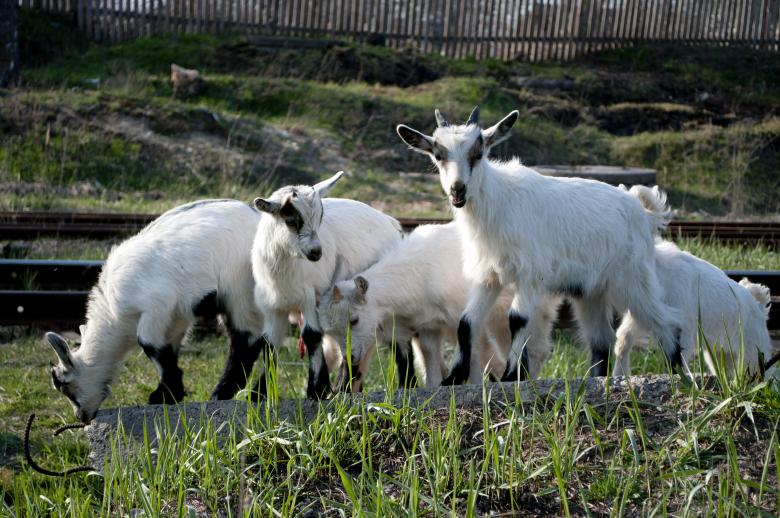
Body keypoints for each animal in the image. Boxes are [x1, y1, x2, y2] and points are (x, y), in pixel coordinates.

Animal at [47, 199, 267, 423]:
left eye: (66, 387)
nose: (81, 417)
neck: (114, 316)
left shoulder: (156, 307)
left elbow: (149, 344)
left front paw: (161, 396)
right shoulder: (177, 317)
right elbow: (168, 349)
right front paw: (171, 392)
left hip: (240, 291)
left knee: (246, 340)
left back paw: (235, 393)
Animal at [251, 171, 403, 398]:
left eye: (320, 217)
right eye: (290, 221)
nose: (316, 252)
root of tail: (389, 220)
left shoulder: (311, 297)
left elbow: (311, 335)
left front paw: (316, 391)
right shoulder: (272, 305)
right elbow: (270, 344)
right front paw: (259, 394)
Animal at [316, 222, 562, 387]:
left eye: (354, 320)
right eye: (330, 332)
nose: (350, 357)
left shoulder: (464, 319)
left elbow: (475, 354)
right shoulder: (427, 326)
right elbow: (430, 358)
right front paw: (434, 386)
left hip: (538, 304)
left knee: (536, 349)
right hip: (500, 318)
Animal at [396, 107, 683, 384]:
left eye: (478, 153)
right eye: (438, 155)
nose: (458, 190)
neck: (499, 202)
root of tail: (644, 213)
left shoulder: (531, 274)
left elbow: (517, 319)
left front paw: (511, 376)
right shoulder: (488, 275)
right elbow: (467, 322)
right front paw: (453, 379)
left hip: (633, 279)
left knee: (666, 321)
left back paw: (680, 374)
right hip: (591, 290)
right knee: (601, 339)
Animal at [613, 186, 774, 378]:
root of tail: (758, 306)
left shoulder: (682, 328)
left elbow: (678, 357)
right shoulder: (641, 316)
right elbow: (623, 339)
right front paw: (618, 374)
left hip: (753, 356)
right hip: (719, 353)